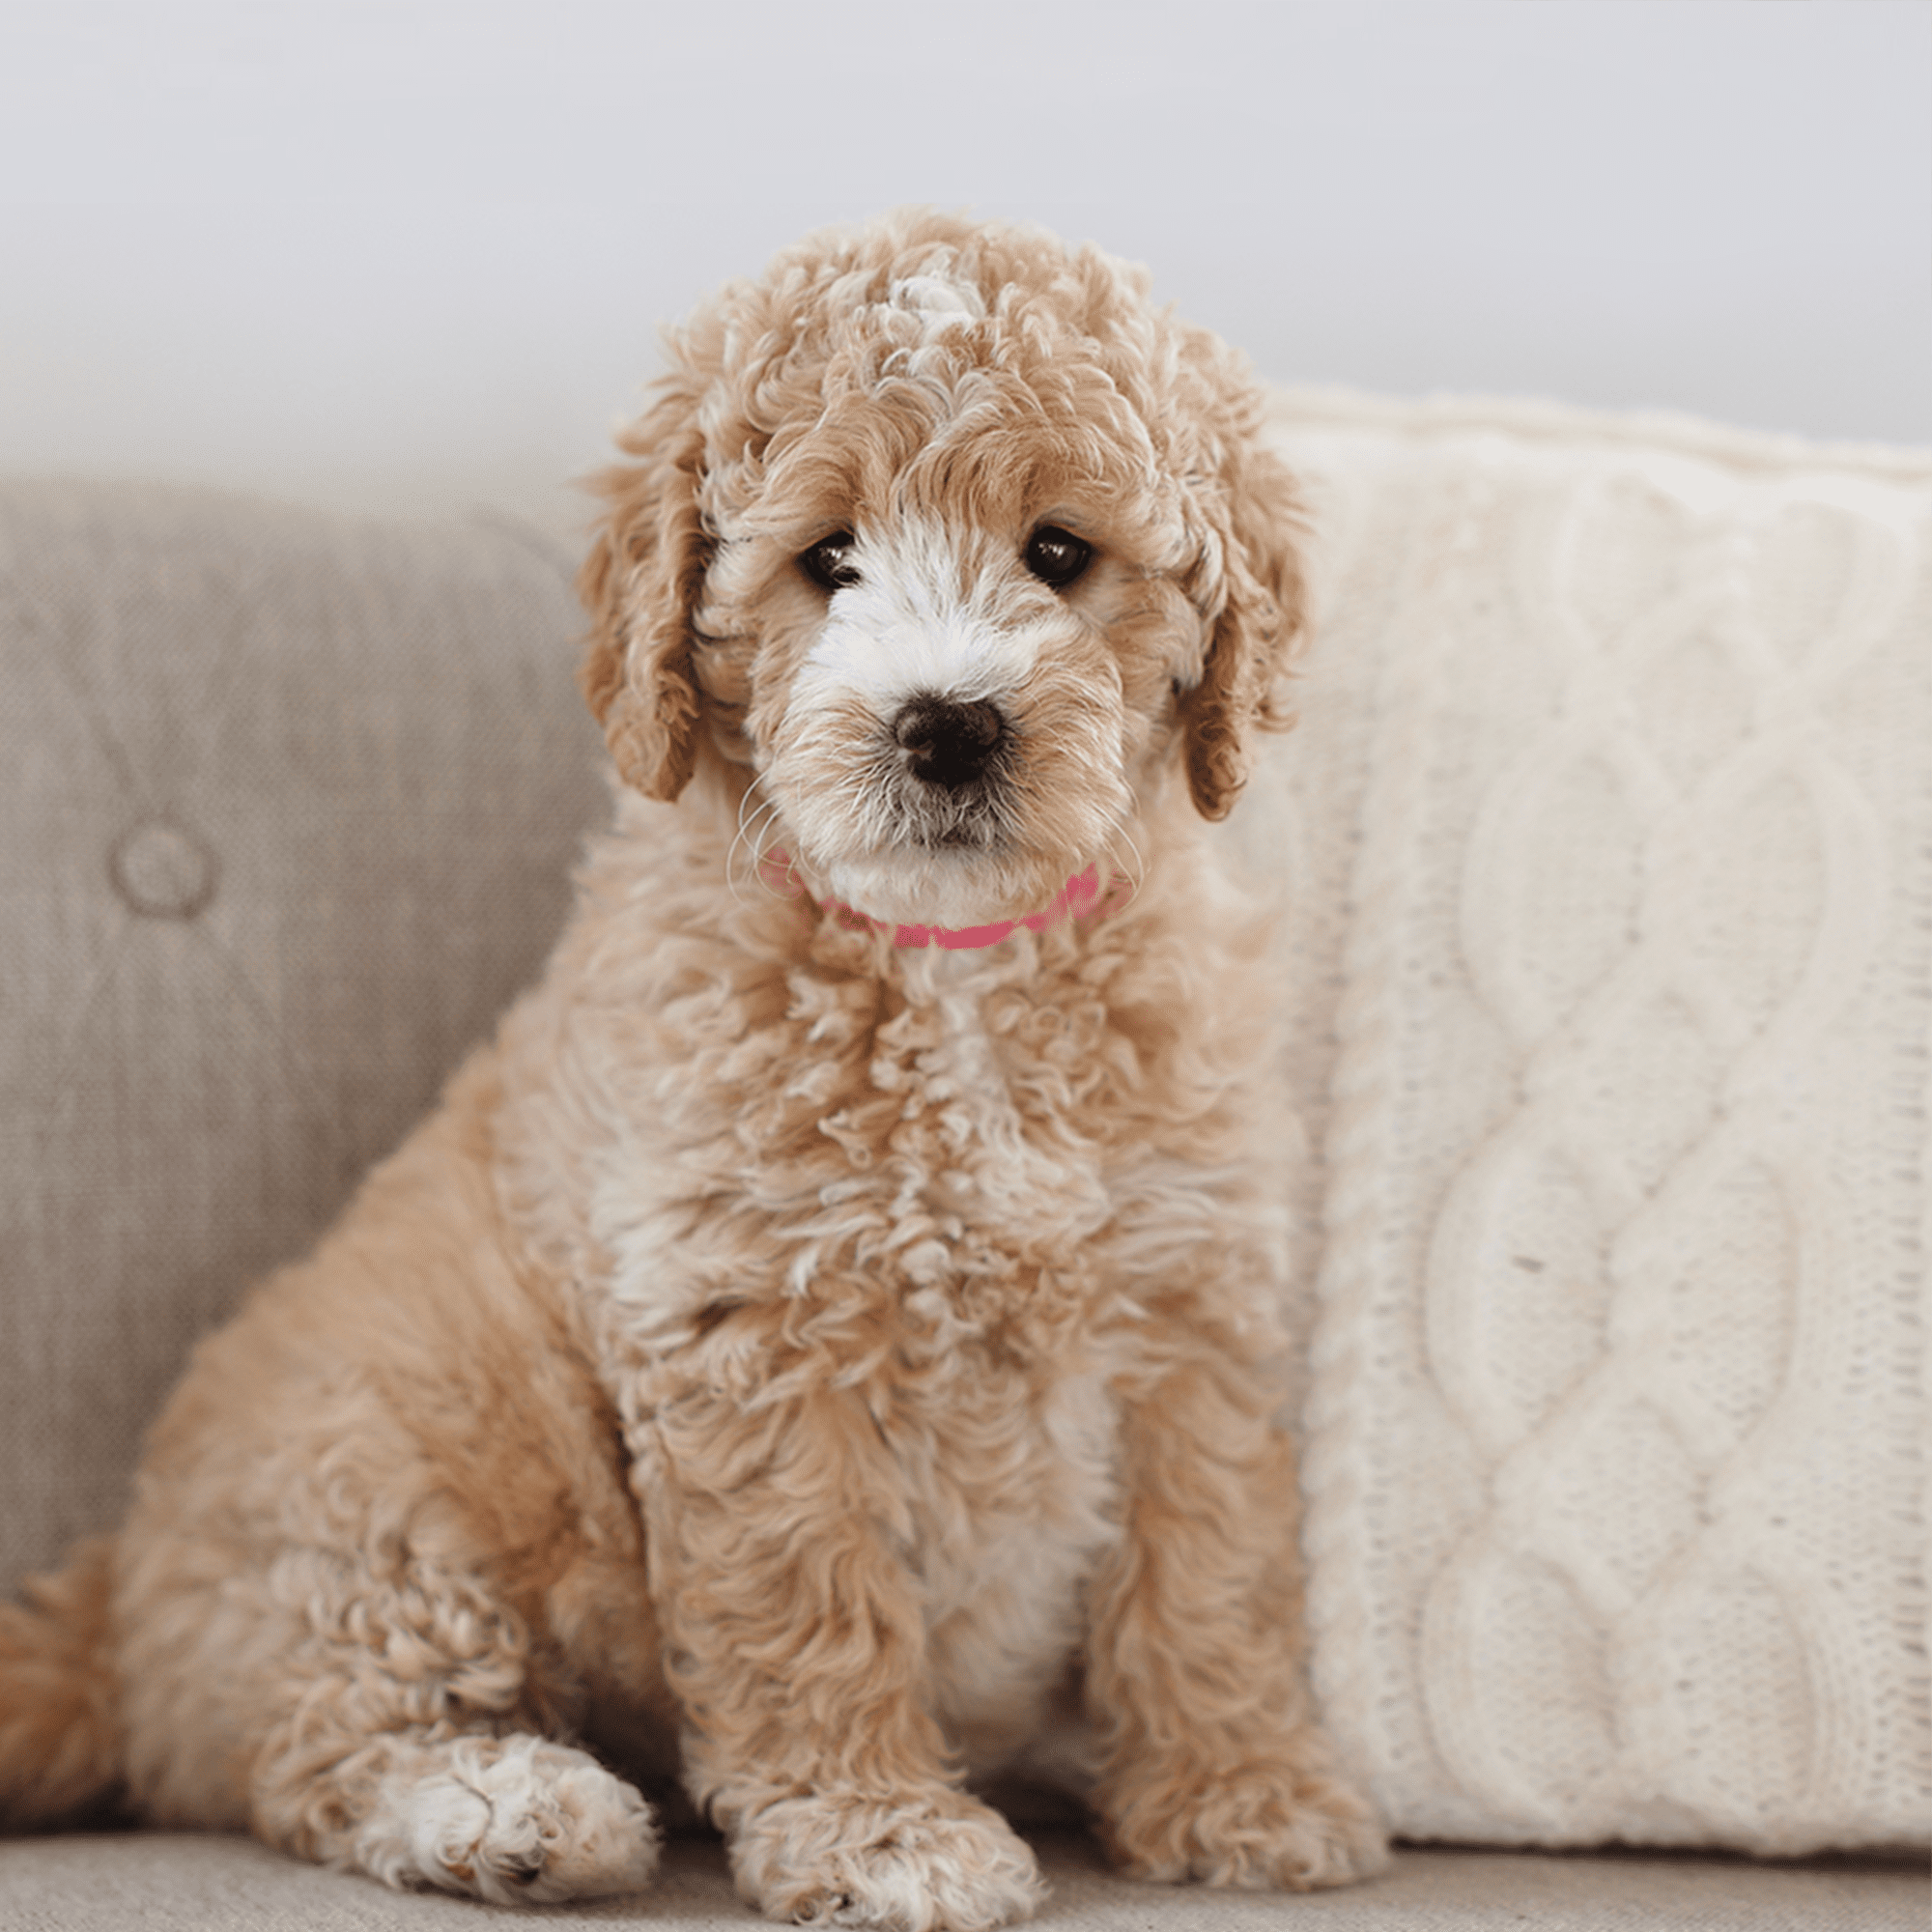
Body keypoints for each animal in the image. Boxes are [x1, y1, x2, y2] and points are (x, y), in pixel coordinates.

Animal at [0, 212, 1391, 1932]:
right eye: (827, 559)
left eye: (1061, 554)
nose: (947, 726)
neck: (954, 971)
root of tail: (117, 1592)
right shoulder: (750, 1324)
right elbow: (813, 1604)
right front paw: (882, 1834)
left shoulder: (1187, 1304)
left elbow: (1209, 1572)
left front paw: (1237, 1790)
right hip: (390, 1479)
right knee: (325, 1738)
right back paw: (509, 1808)